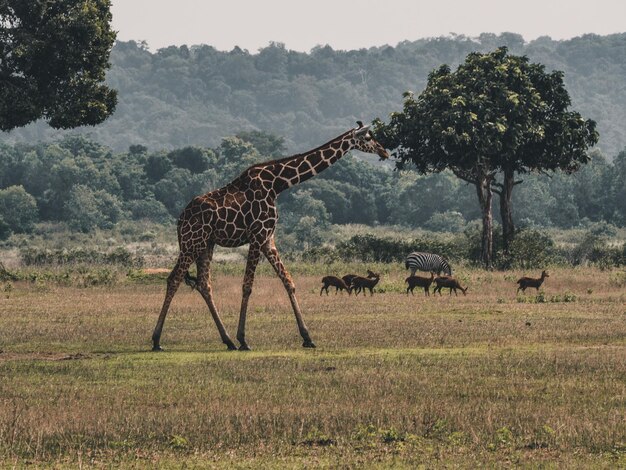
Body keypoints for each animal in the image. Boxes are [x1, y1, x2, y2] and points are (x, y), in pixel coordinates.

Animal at [151, 123, 388, 350]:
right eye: (368, 137)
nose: (384, 151)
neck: (278, 184)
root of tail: (180, 220)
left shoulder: (268, 239)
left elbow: (288, 281)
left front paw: (307, 337)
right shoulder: (257, 235)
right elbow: (247, 285)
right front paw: (243, 339)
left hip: (205, 244)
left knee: (203, 284)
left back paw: (227, 341)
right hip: (192, 243)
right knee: (174, 279)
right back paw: (157, 340)